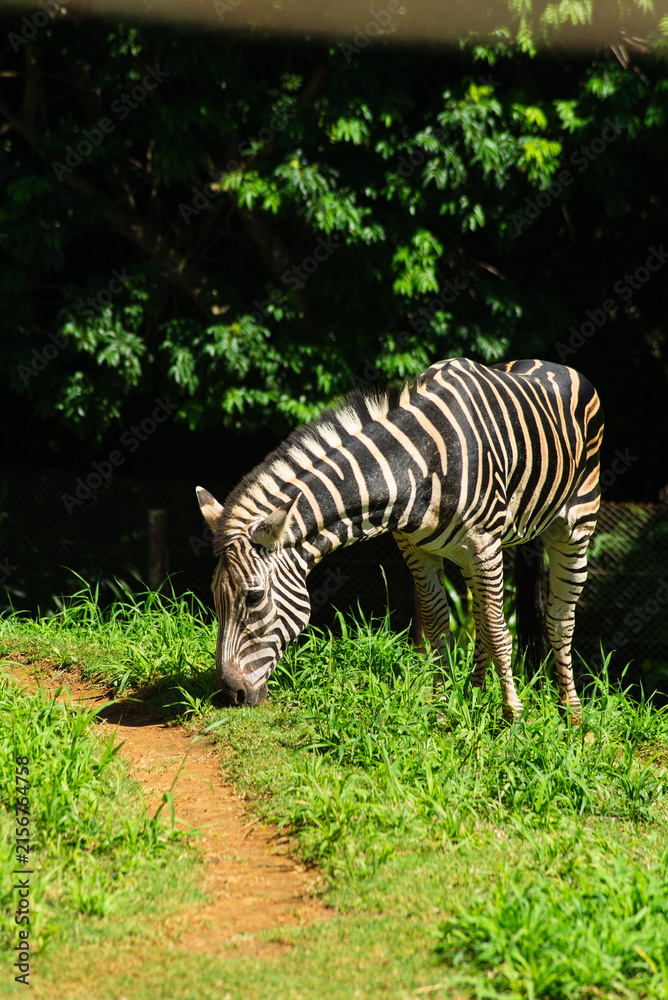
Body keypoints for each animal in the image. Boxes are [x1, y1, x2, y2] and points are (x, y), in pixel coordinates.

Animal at [196, 357, 603, 720]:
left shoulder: (483, 543)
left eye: (254, 597)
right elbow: (439, 625)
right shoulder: (416, 549)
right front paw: (441, 711)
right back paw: (474, 695)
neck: (417, 463)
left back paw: (573, 717)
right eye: (215, 595)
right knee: (480, 617)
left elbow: (499, 631)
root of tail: (550, 363)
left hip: (574, 526)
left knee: (559, 619)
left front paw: (512, 717)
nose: (228, 695)